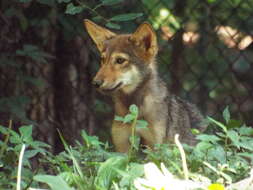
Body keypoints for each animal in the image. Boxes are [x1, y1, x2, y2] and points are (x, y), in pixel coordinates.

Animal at [84, 19, 207, 153]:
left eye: (120, 60)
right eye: (102, 60)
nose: (95, 83)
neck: (135, 108)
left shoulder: (154, 147)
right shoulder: (122, 147)